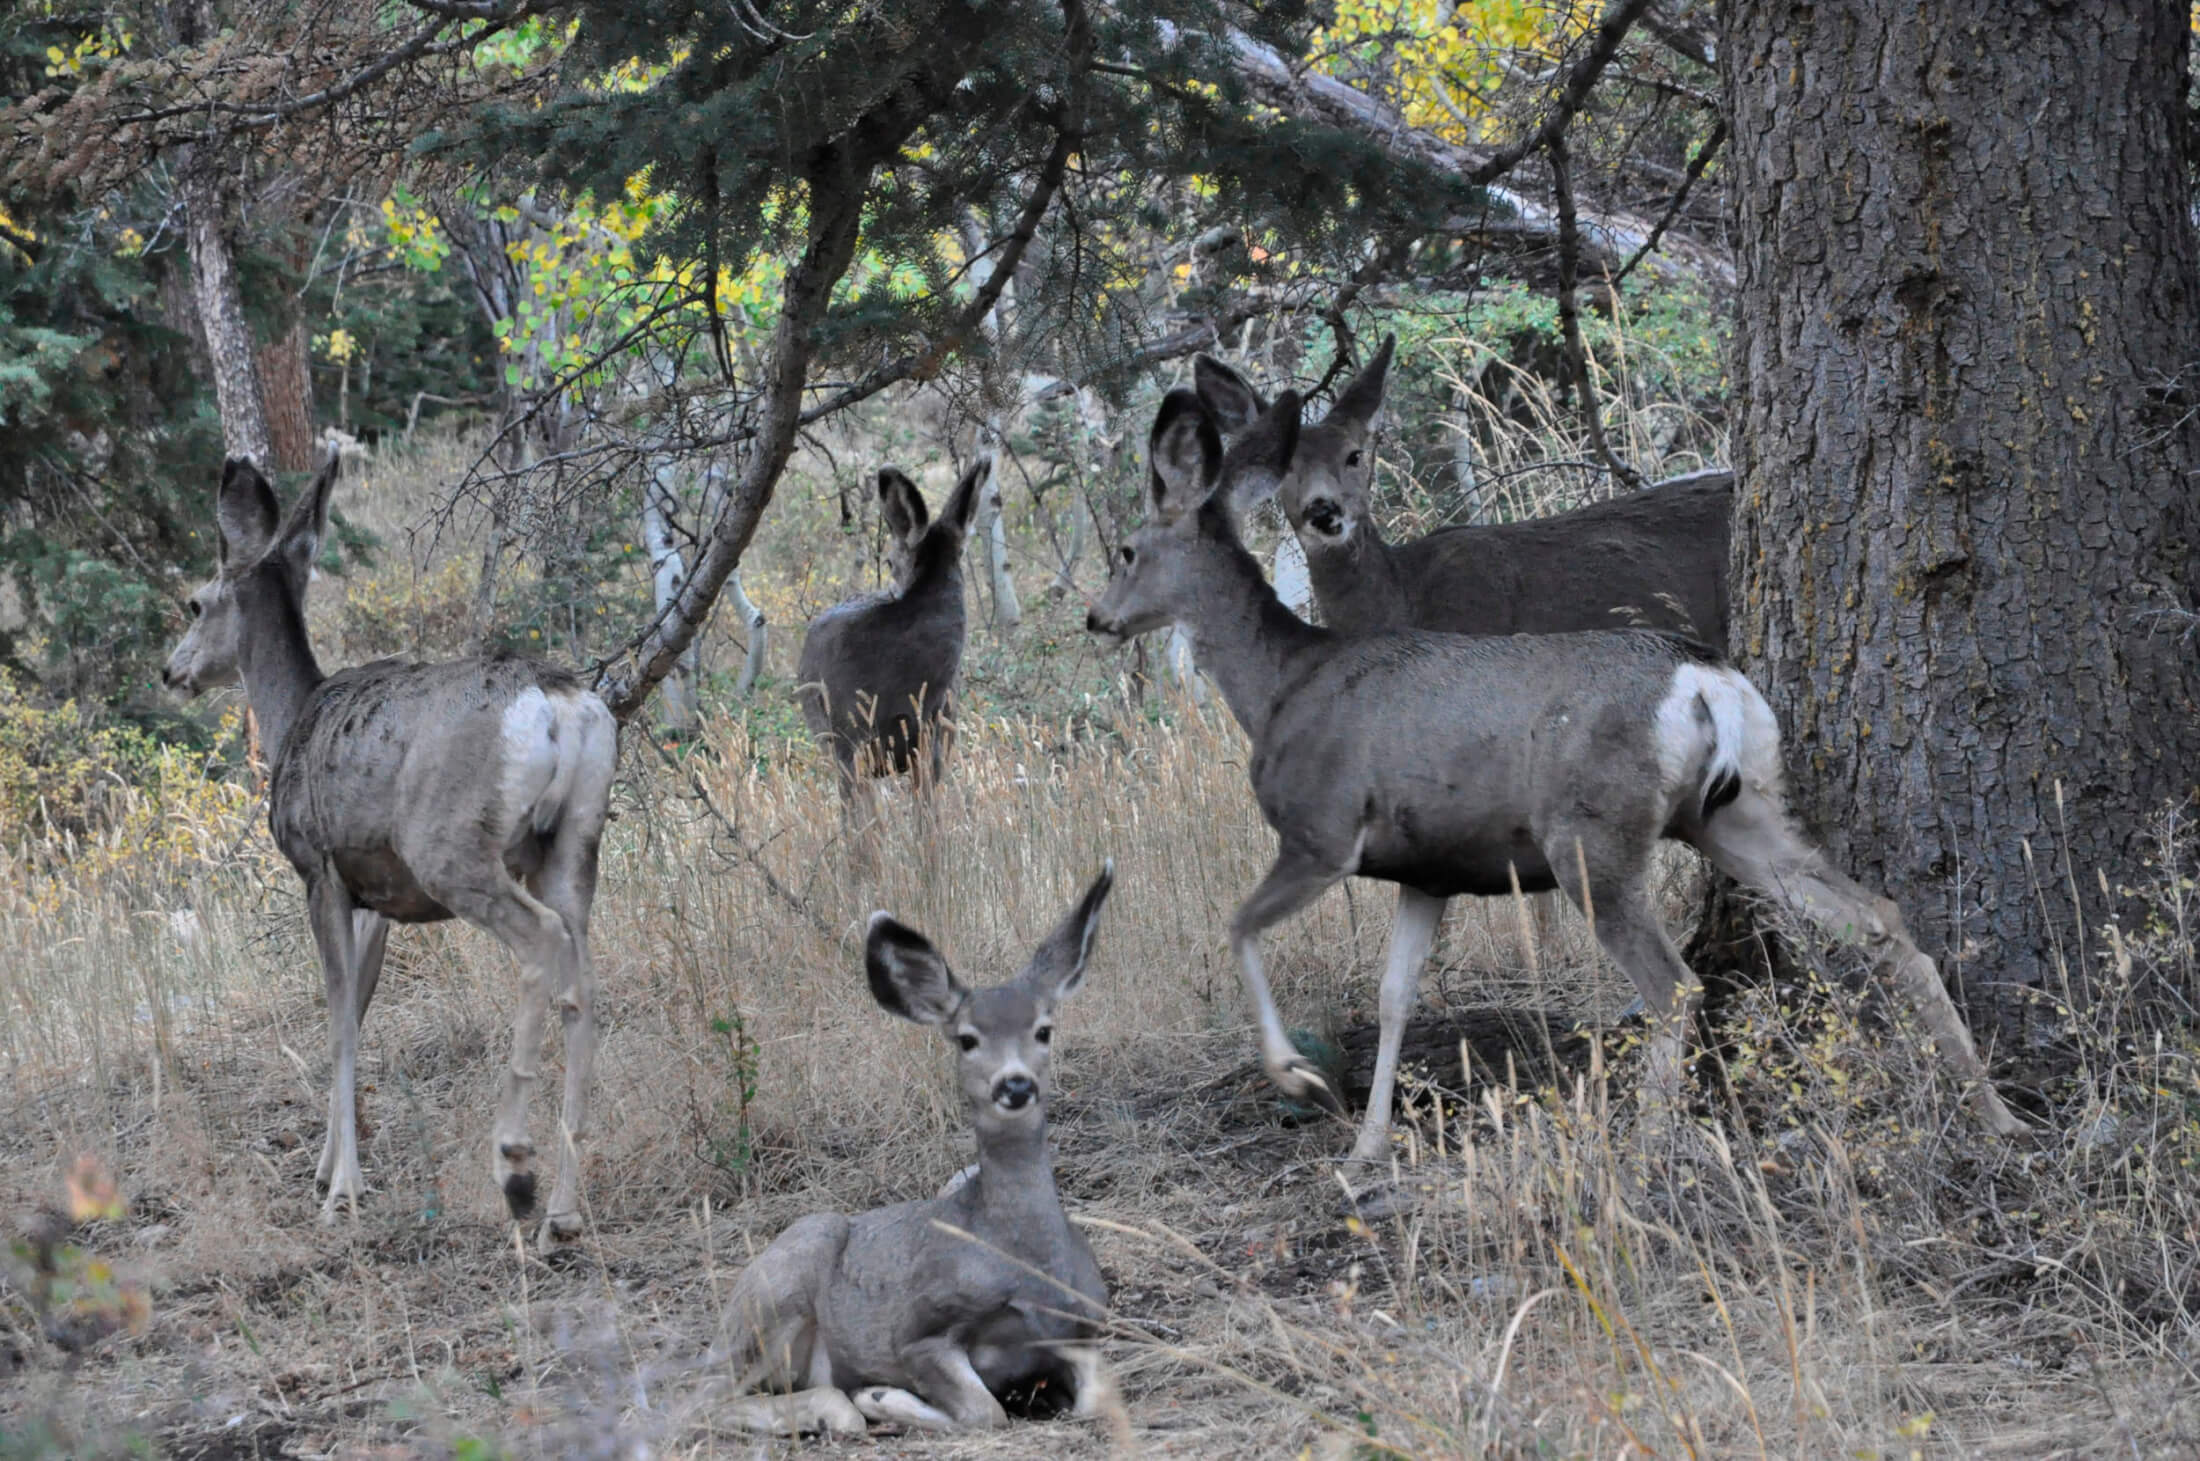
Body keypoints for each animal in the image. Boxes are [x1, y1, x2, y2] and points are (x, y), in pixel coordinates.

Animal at [163, 448, 620, 1240]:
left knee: (540, 942)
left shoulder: (318, 867)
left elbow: (339, 1020)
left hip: (453, 848)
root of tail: (560, 705)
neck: (290, 722)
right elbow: (360, 1007)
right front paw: (326, 1166)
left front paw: (341, 1188)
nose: (171, 669)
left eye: (196, 602)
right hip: (572, 845)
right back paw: (563, 1211)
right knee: (582, 976)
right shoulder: (374, 897)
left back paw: (514, 1164)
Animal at [717, 862, 1117, 1434]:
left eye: (1044, 1029)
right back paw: (839, 1407)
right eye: (967, 1038)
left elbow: (1094, 1400)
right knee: (707, 1398)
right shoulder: (918, 1331)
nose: (1014, 1085)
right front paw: (881, 1395)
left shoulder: (1087, 1323)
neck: (1027, 1265)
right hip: (779, 1284)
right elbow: (985, 1412)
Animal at [800, 462, 990, 840]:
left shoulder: (933, 744)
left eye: (888, 561)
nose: (891, 586)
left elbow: (927, 825)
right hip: (831, 739)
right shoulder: (848, 743)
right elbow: (861, 836)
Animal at [1082, 387, 2024, 1161]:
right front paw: (1369, 1145)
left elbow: (1238, 926)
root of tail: (1703, 682)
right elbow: (1393, 994)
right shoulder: (1428, 869)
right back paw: (1995, 1112)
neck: (1280, 686)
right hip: (1736, 812)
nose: (1096, 617)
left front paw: (1296, 1076)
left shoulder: (1321, 831)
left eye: (1126, 550)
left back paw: (1646, 1153)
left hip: (1590, 837)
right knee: (1878, 917)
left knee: (1675, 986)